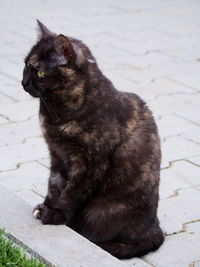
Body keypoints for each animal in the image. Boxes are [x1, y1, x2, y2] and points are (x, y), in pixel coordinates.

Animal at [21, 21, 164, 260]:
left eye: (39, 72)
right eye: (25, 66)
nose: (23, 82)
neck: (57, 110)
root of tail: (155, 228)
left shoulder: (91, 162)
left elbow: (73, 191)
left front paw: (56, 214)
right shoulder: (57, 154)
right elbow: (55, 183)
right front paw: (46, 206)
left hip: (99, 212)